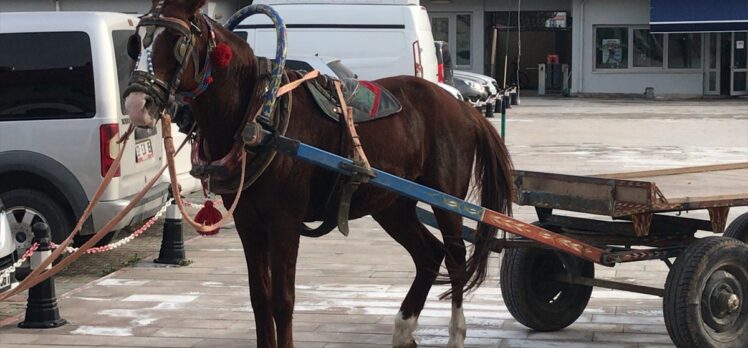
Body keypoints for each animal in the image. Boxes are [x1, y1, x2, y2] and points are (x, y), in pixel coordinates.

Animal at [124, 1, 516, 346]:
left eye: (177, 42)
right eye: (136, 42)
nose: (136, 104)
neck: (258, 114)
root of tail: (462, 107)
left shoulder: (284, 220)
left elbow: (283, 301)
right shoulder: (249, 221)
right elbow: (259, 298)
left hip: (447, 198)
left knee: (456, 258)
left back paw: (456, 333)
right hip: (392, 203)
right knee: (429, 256)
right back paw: (404, 329)